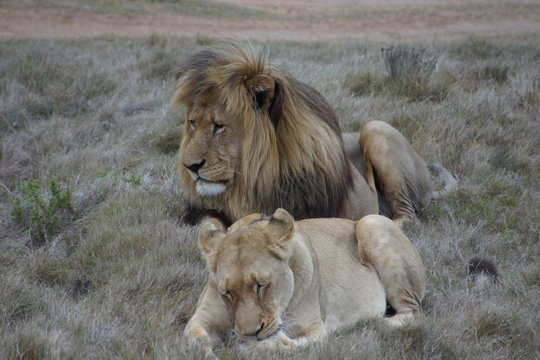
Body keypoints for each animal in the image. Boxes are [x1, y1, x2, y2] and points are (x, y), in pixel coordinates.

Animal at [171, 42, 454, 225]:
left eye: (219, 126)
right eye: (193, 123)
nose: (190, 166)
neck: (254, 180)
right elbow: (211, 223)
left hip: (376, 128)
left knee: (407, 217)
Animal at [186, 210, 426, 352]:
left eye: (262, 285)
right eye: (226, 292)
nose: (251, 332)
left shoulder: (315, 328)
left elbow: (288, 345)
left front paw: (262, 345)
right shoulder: (201, 318)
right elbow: (194, 339)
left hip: (372, 222)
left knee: (413, 312)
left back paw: (375, 324)